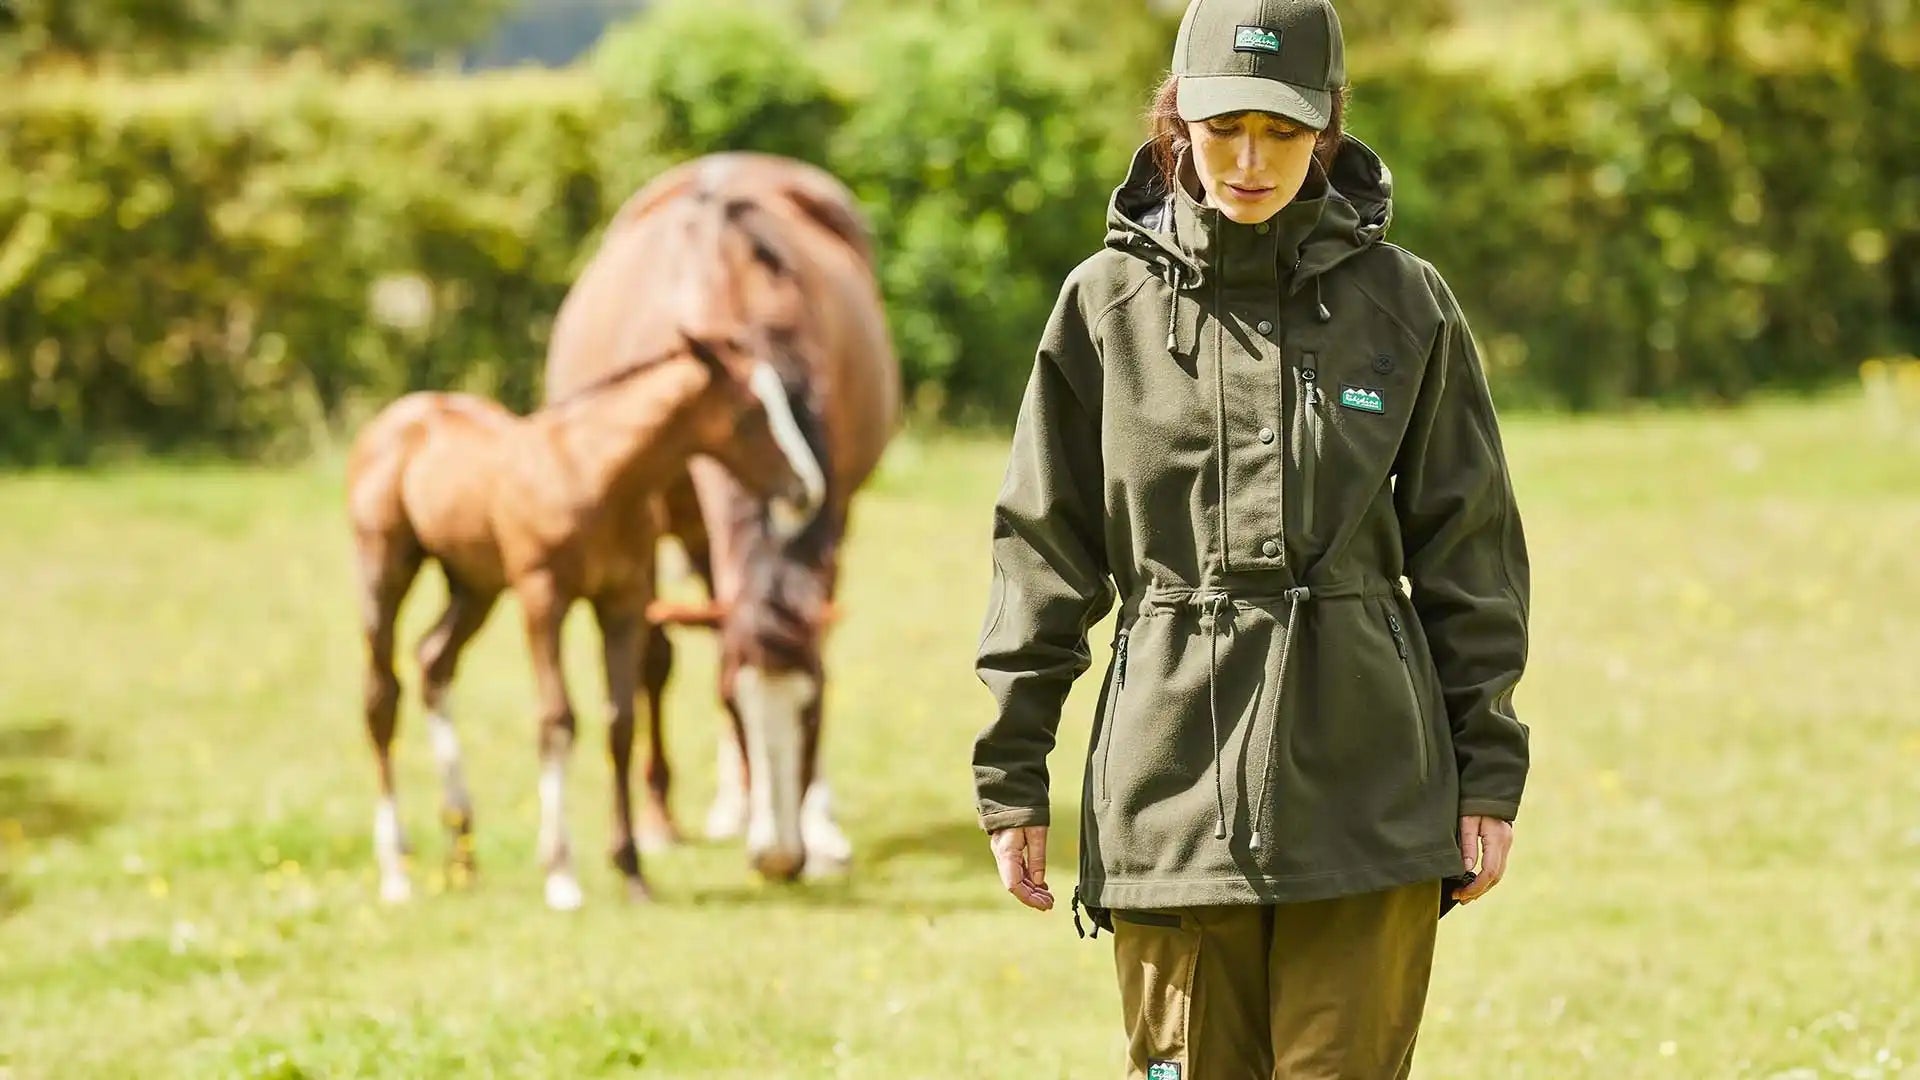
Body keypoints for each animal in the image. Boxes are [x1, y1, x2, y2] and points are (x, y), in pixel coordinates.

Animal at [351, 320, 825, 907]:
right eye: (750, 413)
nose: (805, 491)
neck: (595, 475)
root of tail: (396, 418)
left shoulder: (622, 603)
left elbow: (620, 722)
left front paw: (631, 869)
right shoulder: (543, 598)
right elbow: (557, 718)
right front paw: (561, 874)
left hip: (475, 586)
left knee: (433, 661)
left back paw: (463, 850)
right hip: (384, 571)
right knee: (381, 697)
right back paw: (396, 868)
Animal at [541, 153, 898, 876]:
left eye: (812, 713)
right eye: (734, 701)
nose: (780, 861)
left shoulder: (835, 505)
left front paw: (817, 822)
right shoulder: (645, 517)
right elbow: (654, 658)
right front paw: (657, 821)